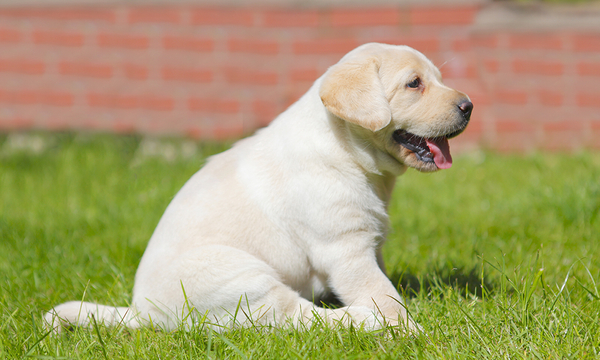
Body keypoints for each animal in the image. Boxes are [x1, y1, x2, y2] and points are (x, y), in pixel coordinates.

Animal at [44, 43, 472, 334]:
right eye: (414, 84)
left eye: (436, 78)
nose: (468, 105)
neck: (347, 151)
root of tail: (143, 313)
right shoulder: (346, 251)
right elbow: (383, 296)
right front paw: (410, 330)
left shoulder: (371, 244)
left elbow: (383, 285)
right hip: (242, 278)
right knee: (300, 318)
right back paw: (364, 322)